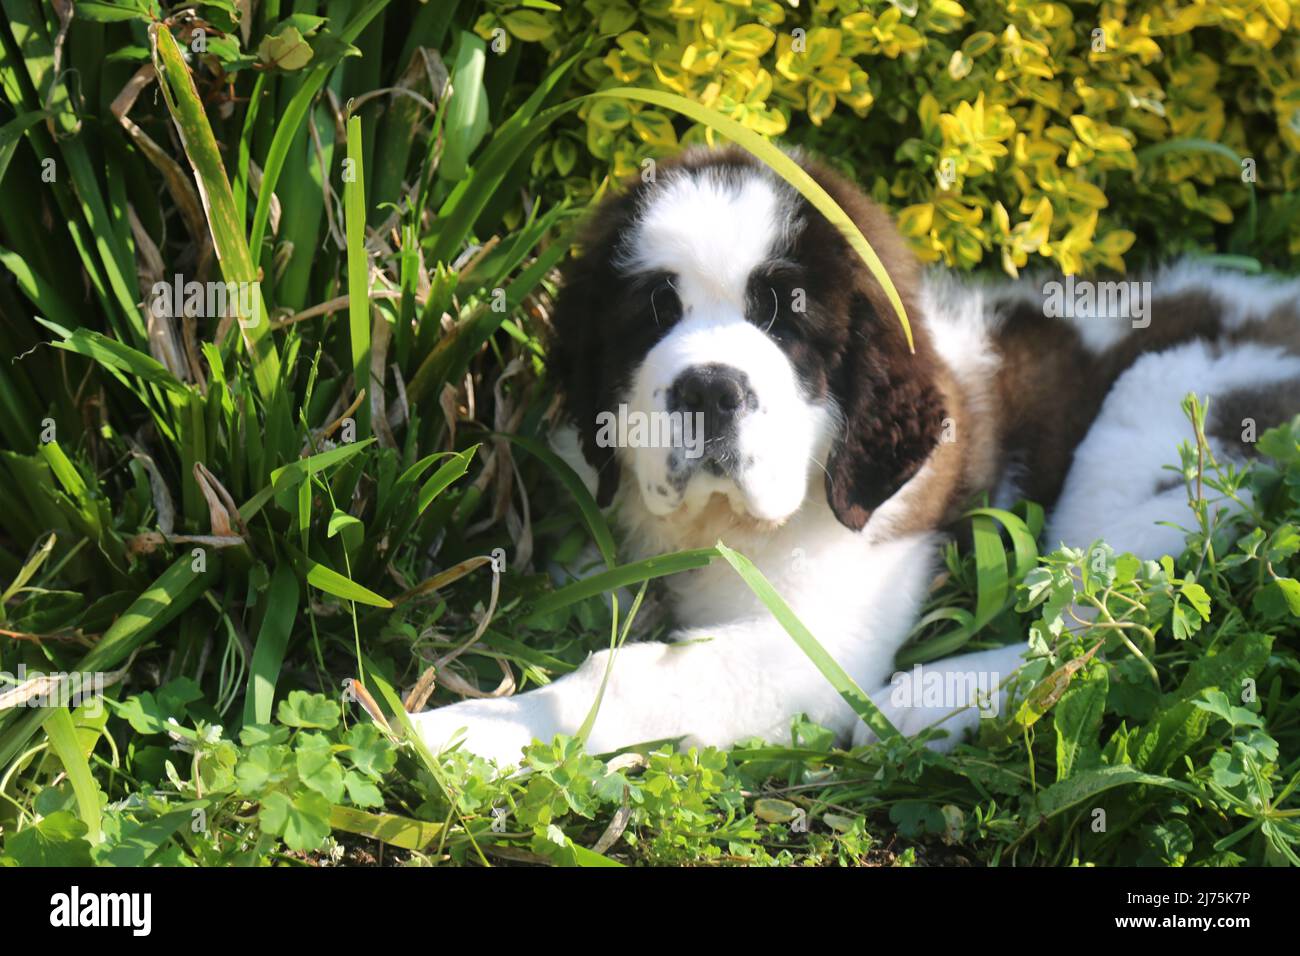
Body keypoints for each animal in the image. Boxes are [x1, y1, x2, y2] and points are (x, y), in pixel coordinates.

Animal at [410, 143, 1300, 770]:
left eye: (787, 322)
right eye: (656, 310)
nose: (709, 389)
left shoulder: (814, 639)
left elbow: (628, 677)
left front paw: (452, 731)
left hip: (1157, 419)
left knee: (1110, 608)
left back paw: (938, 698)